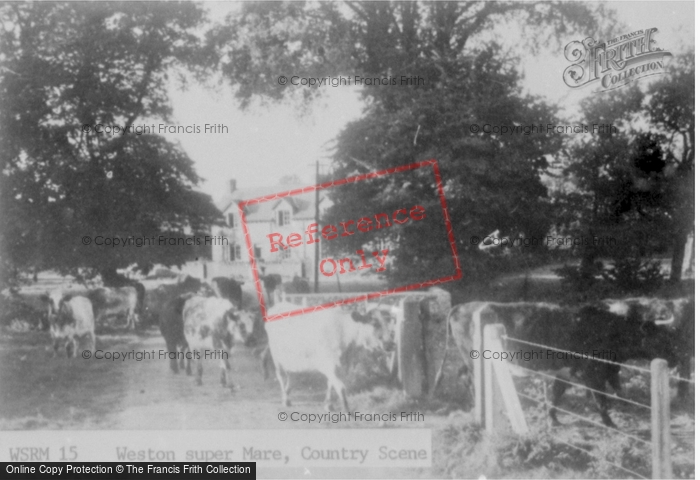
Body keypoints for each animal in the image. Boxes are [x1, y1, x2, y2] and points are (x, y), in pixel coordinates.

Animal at [448, 302, 680, 426]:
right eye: (661, 338)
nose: (676, 357)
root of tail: (463, 306)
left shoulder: (566, 372)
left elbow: (556, 394)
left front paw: (552, 419)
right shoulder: (592, 373)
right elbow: (601, 401)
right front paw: (610, 423)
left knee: (463, 377)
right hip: (474, 359)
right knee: (472, 381)